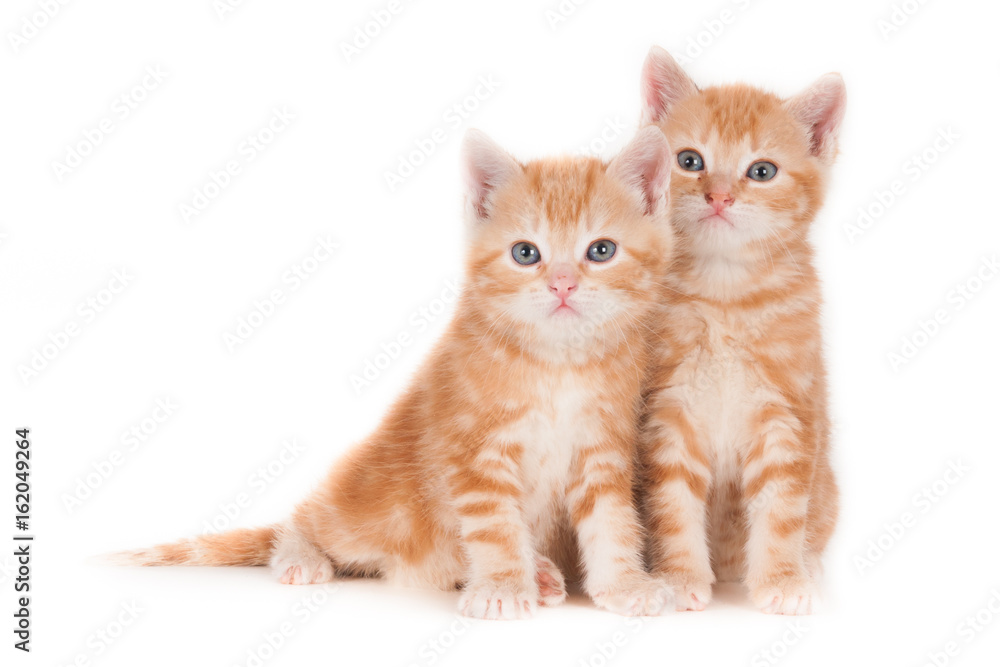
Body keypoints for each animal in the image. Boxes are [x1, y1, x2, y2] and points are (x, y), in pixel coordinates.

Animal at [121, 126, 676, 620]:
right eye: (526, 253)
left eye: (601, 251)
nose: (562, 285)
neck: (557, 362)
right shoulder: (474, 452)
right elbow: (495, 527)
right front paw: (501, 586)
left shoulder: (603, 449)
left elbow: (612, 523)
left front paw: (624, 586)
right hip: (373, 508)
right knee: (307, 518)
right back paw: (300, 553)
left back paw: (537, 572)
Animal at [636, 47, 840, 620]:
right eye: (689, 161)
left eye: (762, 171)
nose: (720, 196)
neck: (725, 295)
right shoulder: (666, 413)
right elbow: (671, 503)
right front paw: (680, 576)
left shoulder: (789, 414)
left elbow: (783, 508)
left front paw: (782, 579)